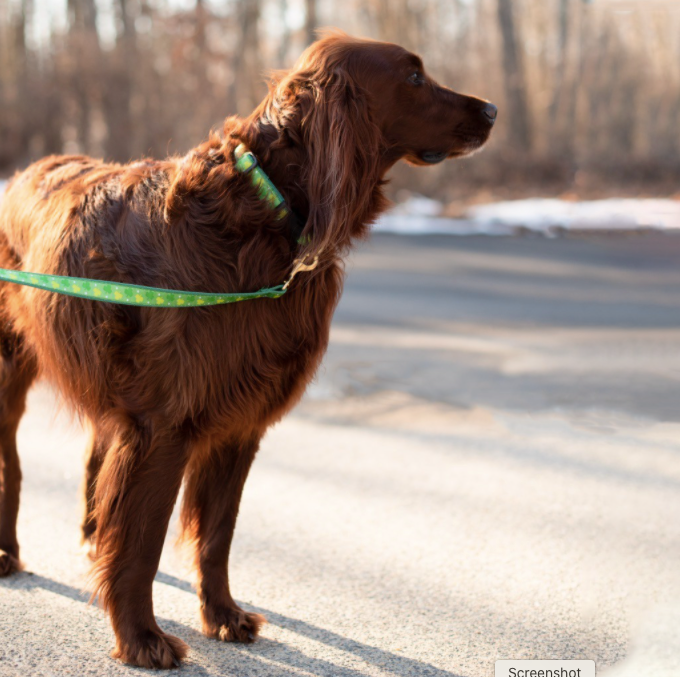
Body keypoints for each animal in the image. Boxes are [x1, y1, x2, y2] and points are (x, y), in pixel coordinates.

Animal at [0, 30, 494, 664]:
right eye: (413, 77)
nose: (492, 110)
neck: (266, 211)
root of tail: (23, 173)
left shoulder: (237, 422)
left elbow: (216, 535)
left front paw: (222, 615)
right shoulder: (164, 423)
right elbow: (143, 542)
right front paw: (142, 639)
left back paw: (90, 538)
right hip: (11, 368)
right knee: (12, 461)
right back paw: (9, 552)